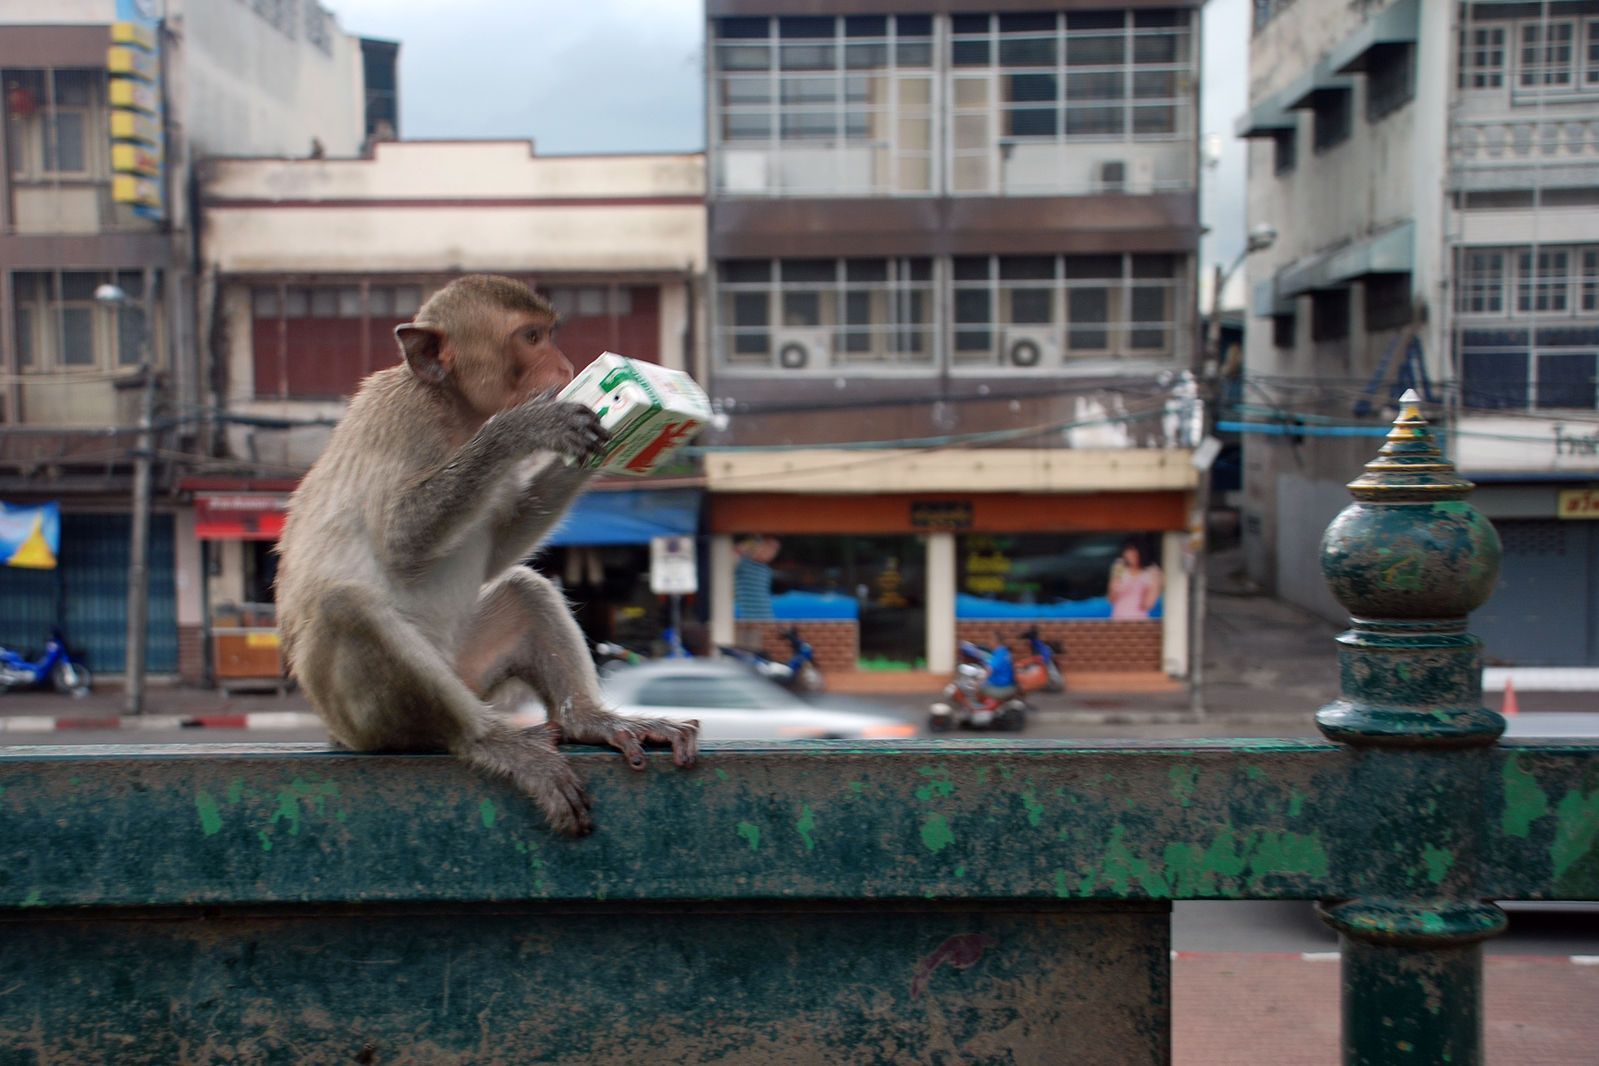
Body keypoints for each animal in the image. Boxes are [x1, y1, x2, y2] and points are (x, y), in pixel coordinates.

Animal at [276, 273, 700, 831]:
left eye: (548, 333)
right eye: (531, 338)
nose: (568, 368)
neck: (453, 408)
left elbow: (500, 545)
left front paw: (604, 430)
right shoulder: (405, 419)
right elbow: (401, 539)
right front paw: (527, 427)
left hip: (469, 668)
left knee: (524, 586)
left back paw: (588, 720)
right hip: (359, 718)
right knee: (346, 606)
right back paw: (491, 740)